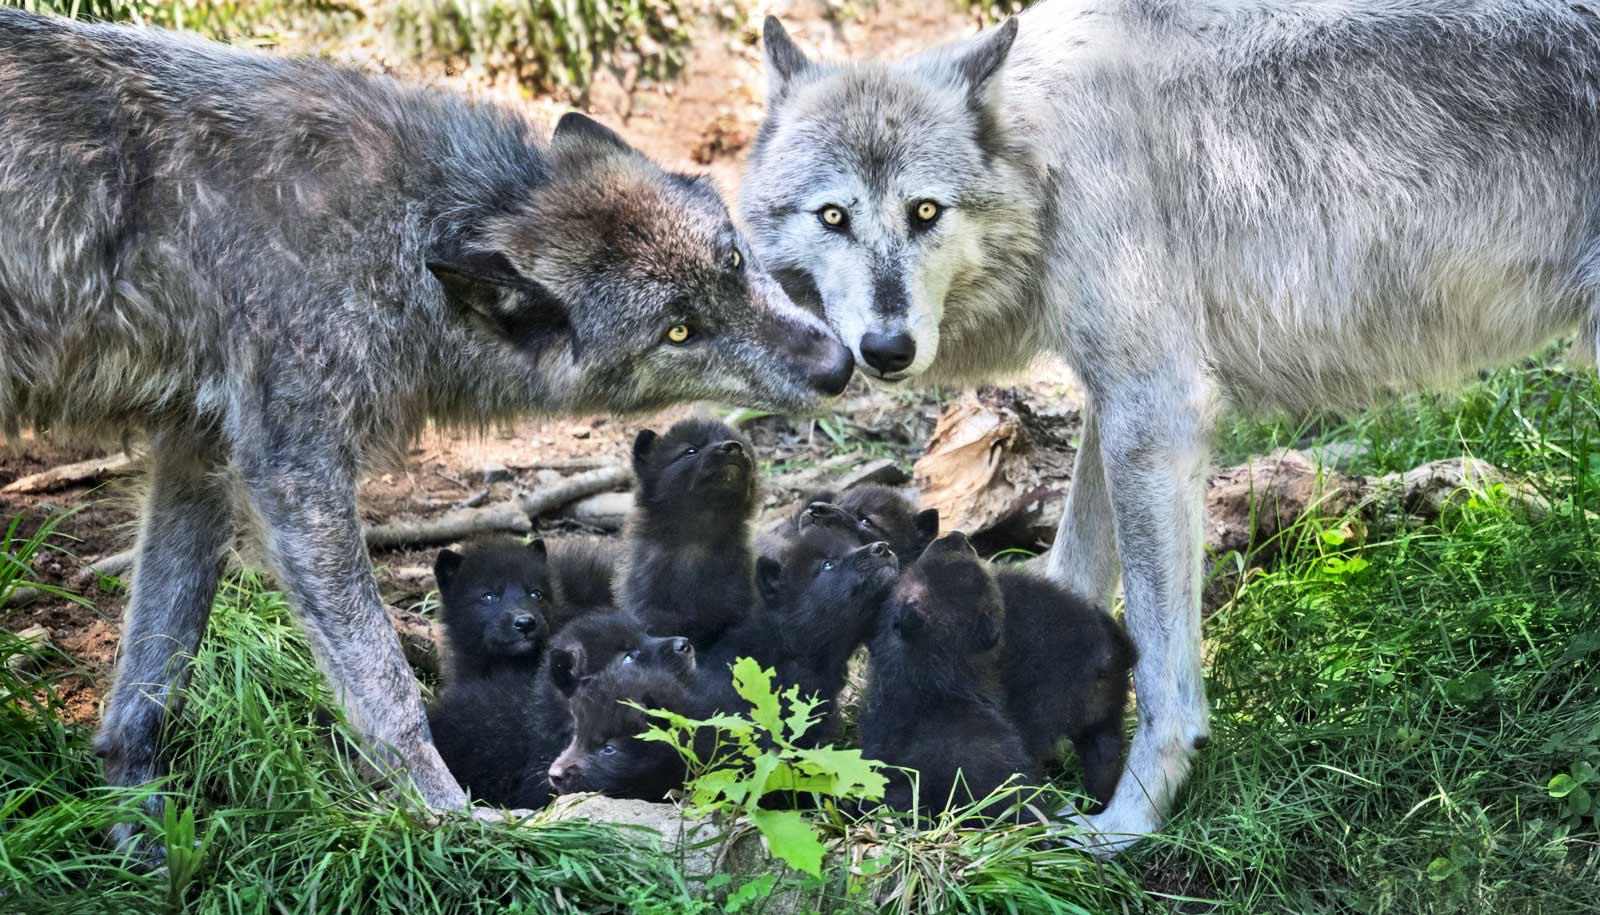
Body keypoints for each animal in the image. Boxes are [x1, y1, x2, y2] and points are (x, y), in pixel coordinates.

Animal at [0, 7, 857, 863]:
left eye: (734, 260)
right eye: (679, 331)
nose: (839, 363)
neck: (401, 232)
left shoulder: (197, 451)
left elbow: (150, 683)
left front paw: (143, 840)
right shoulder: (293, 468)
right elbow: (388, 686)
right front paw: (453, 821)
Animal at [742, 0, 1600, 857]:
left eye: (925, 211)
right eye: (833, 216)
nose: (886, 348)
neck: (1048, 161)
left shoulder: (1155, 412)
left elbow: (1161, 672)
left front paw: (1127, 821)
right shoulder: (1117, 402)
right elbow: (1072, 566)